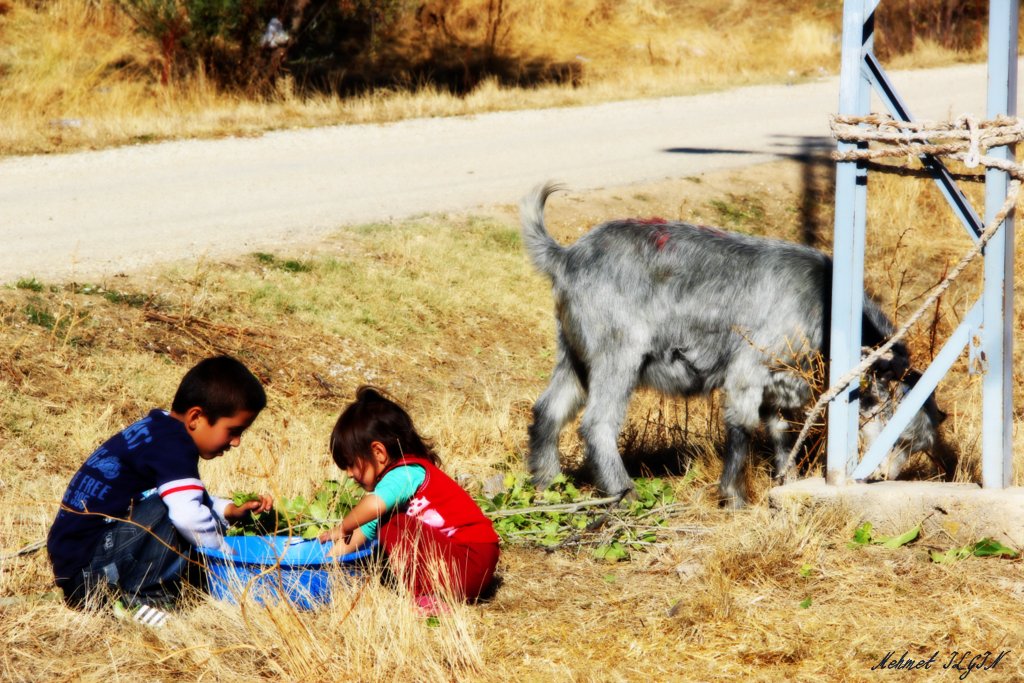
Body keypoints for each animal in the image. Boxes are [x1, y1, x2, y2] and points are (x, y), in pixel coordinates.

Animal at [524, 181, 946, 507]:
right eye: (901, 437)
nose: (881, 477)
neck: (829, 302)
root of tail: (566, 257)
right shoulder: (749, 369)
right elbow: (742, 425)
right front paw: (736, 497)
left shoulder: (782, 383)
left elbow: (781, 431)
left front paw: (788, 481)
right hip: (617, 353)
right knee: (597, 422)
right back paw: (623, 492)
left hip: (574, 355)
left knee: (549, 409)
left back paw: (546, 484)